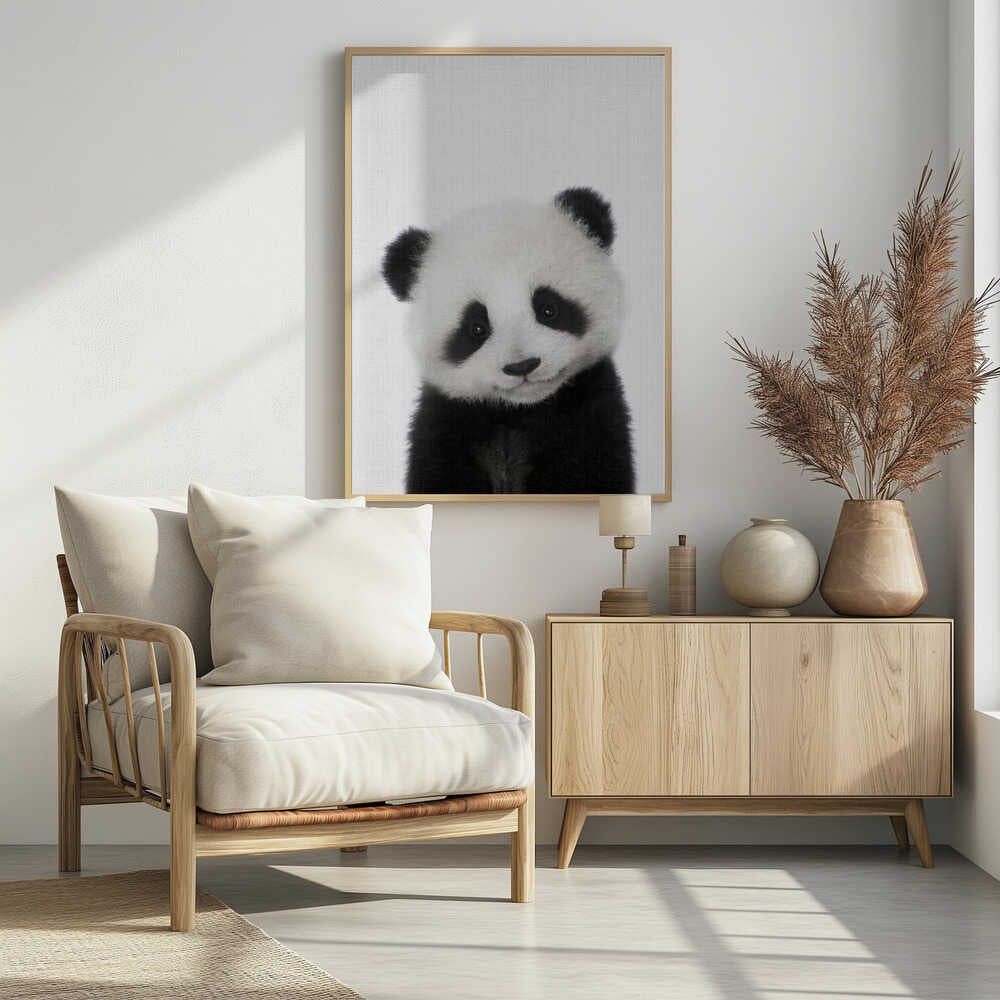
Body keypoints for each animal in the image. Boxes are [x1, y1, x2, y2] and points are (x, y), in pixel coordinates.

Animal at [382, 187, 635, 495]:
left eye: (548, 309)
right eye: (477, 327)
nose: (522, 366)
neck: (517, 412)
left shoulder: (590, 414)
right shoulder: (445, 424)